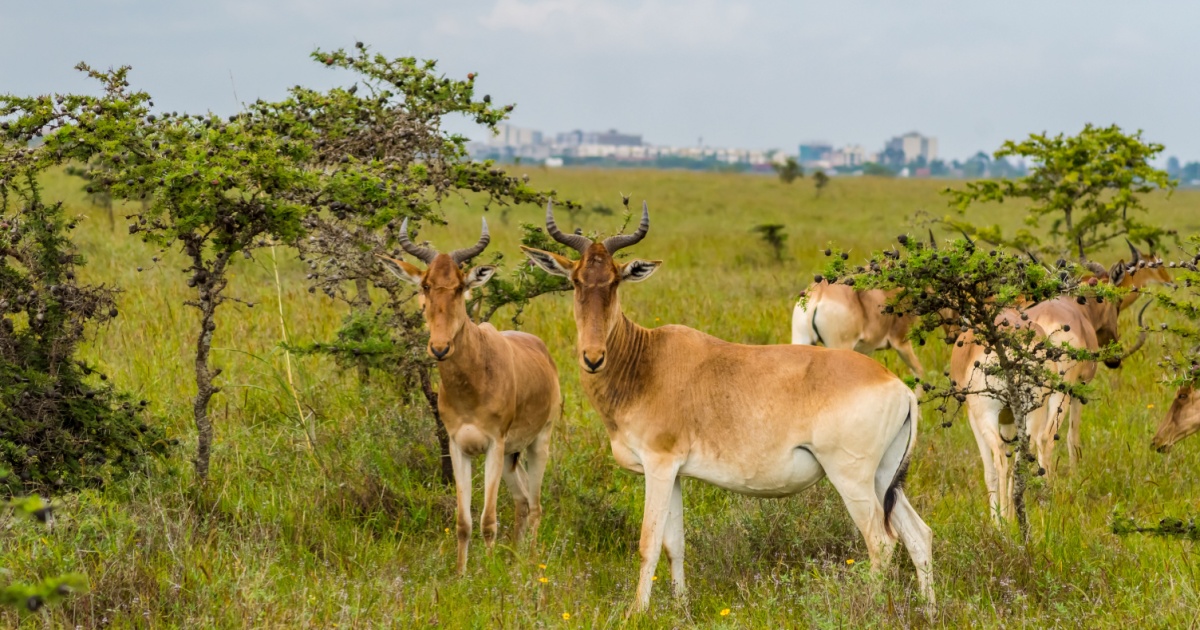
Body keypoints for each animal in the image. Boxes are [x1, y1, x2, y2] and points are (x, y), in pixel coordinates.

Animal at [378, 218, 561, 574]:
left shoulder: (493, 445)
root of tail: (541, 349)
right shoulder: (457, 447)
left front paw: (487, 575)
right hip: (511, 455)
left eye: (461, 286)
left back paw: (530, 562)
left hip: (538, 443)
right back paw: (515, 558)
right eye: (426, 285)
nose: (439, 348)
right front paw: (462, 574)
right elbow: (463, 521)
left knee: (535, 505)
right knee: (521, 500)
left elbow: (488, 519)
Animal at [522, 202, 935, 612]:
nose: (593, 357)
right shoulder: (675, 473)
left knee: (881, 542)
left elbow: (648, 544)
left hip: (851, 477)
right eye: (576, 280)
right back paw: (929, 610)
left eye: (614, 280)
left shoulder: (658, 466)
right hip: (884, 477)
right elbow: (675, 545)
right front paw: (682, 608)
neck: (647, 360)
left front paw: (635, 613)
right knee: (919, 536)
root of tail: (897, 386)